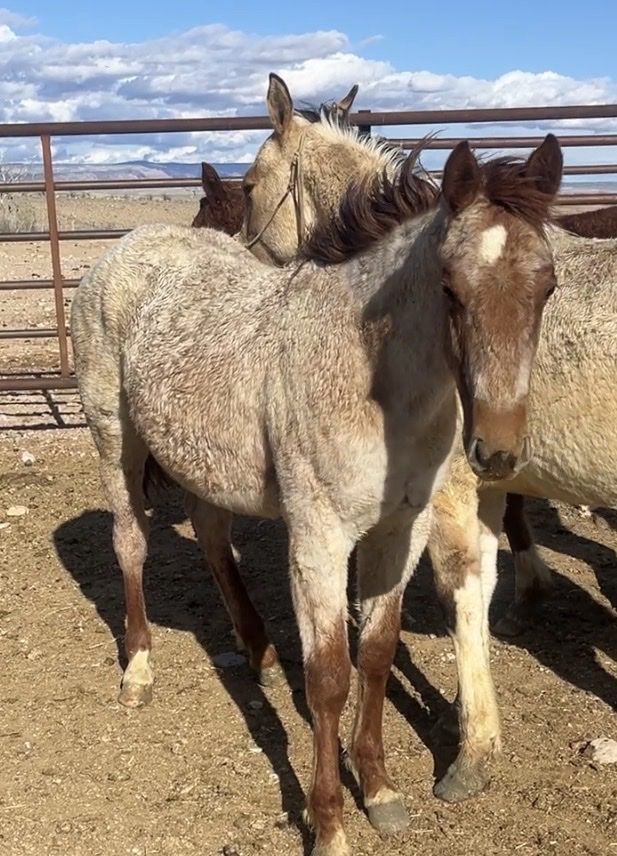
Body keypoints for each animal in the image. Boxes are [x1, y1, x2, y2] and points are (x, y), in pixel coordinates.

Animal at [70, 79, 562, 854]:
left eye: (547, 286)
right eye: (450, 288)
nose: (498, 450)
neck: (371, 377)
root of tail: (132, 242)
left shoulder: (400, 530)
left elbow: (377, 653)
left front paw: (382, 791)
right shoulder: (319, 539)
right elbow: (330, 675)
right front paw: (329, 823)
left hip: (200, 454)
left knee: (210, 535)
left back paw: (257, 649)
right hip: (112, 435)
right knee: (131, 543)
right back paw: (140, 670)